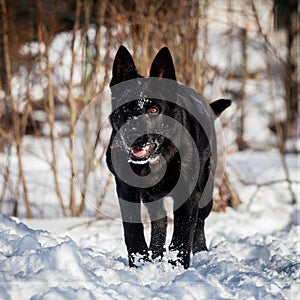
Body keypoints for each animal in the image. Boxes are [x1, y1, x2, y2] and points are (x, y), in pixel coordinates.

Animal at [106, 45, 231, 268]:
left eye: (154, 109)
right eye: (126, 108)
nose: (135, 134)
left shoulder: (189, 192)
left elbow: (183, 232)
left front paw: (178, 266)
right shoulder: (126, 189)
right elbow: (133, 230)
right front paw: (139, 262)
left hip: (206, 192)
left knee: (199, 222)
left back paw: (200, 251)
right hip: (153, 197)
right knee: (160, 223)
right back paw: (155, 256)